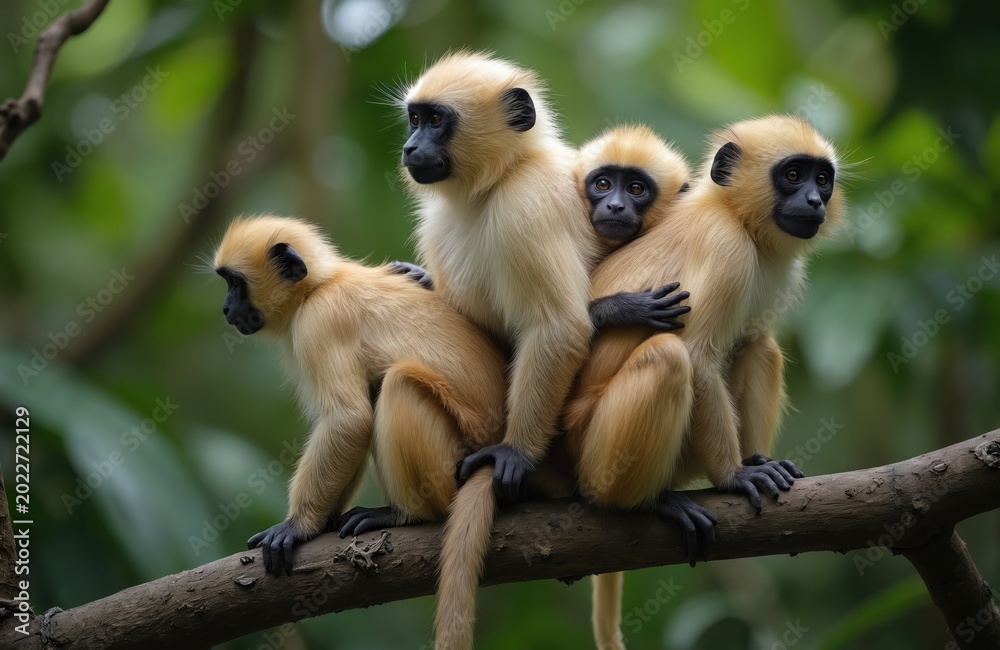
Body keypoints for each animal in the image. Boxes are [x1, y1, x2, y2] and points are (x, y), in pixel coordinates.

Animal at [212, 214, 510, 576]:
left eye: (235, 283)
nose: (225, 308)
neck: (319, 287)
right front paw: (321, 522)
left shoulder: (319, 321)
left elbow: (349, 420)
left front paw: (298, 526)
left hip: (453, 465)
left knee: (396, 384)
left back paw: (405, 514)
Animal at [562, 114, 844, 649]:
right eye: (793, 176)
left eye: (822, 179)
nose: (815, 202)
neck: (734, 216)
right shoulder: (725, 247)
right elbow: (698, 355)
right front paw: (734, 477)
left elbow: (745, 344)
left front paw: (753, 465)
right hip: (589, 450)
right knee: (670, 358)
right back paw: (643, 505)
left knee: (759, 346)